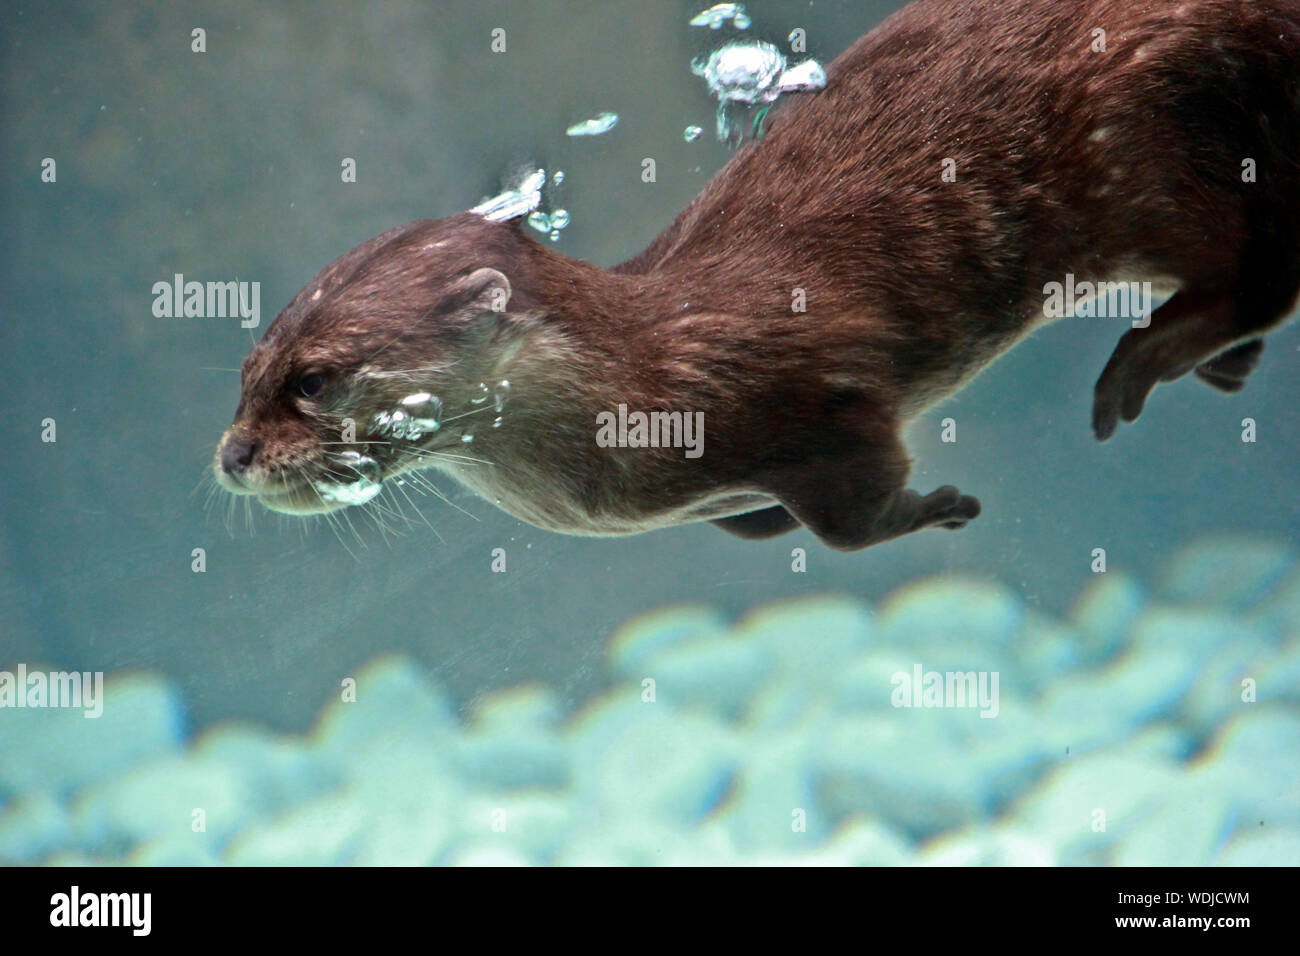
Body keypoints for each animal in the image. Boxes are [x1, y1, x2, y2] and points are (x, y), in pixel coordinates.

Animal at [214, 0, 1300, 551]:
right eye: (248, 374)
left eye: (313, 382)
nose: (231, 456)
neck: (642, 382)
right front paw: (762, 520)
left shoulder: (817, 403)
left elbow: (852, 523)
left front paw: (942, 508)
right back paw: (1218, 364)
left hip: (1141, 144)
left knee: (1265, 269)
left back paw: (1147, 360)